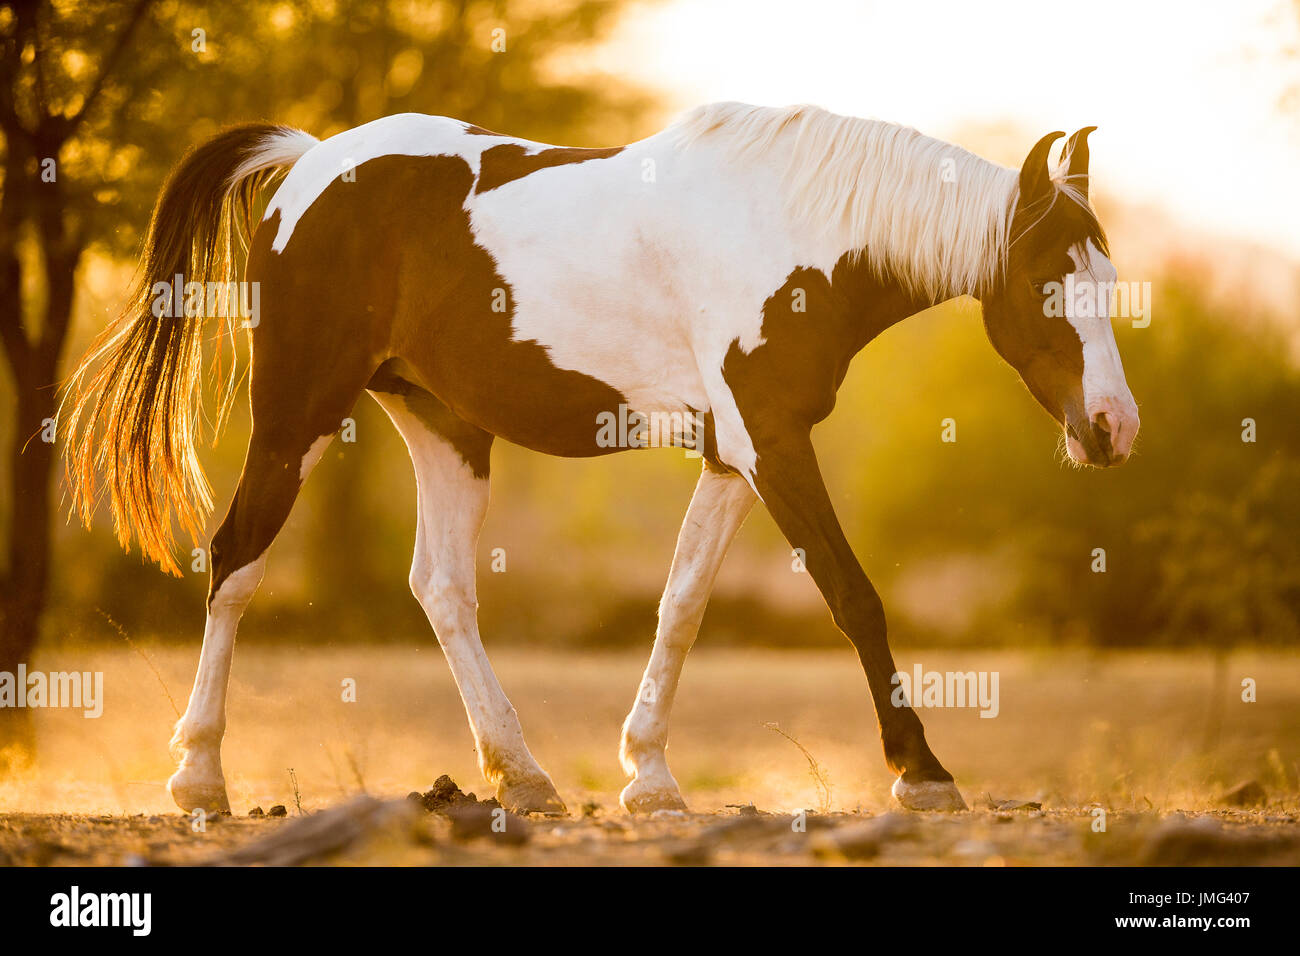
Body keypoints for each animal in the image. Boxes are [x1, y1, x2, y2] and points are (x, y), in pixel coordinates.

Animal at [61, 102, 1138, 816]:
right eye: (1047, 280)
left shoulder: (736, 454)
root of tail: (309, 162)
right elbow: (853, 594)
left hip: (443, 425)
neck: (793, 233)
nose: (1113, 427)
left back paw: (520, 774)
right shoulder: (772, 443)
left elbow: (681, 605)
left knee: (441, 587)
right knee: (235, 559)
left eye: (1107, 272)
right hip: (297, 414)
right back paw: (200, 775)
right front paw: (922, 772)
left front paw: (649, 775)